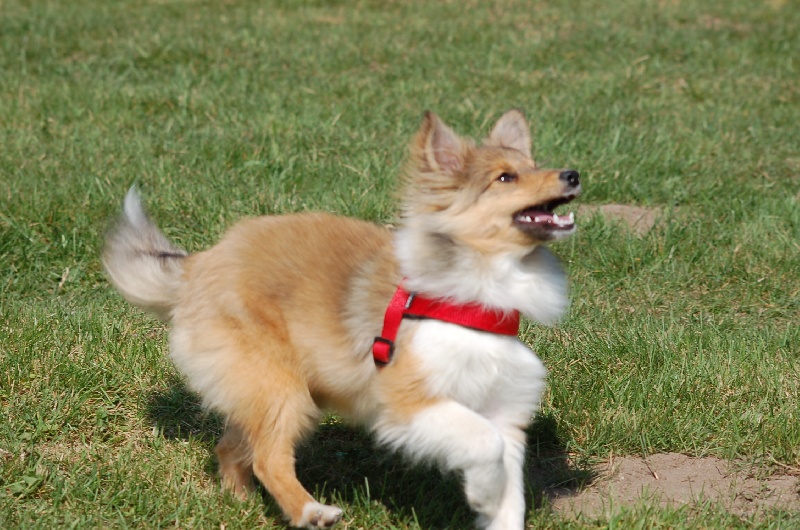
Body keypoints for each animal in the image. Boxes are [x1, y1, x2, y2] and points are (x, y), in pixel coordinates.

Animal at [104, 109, 580, 524]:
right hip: (281, 389)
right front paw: (483, 494)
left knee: (233, 447)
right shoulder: (406, 400)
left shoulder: (504, 410)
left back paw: (240, 504)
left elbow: (507, 484)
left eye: (534, 165)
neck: (473, 302)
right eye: (505, 177)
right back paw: (310, 512)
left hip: (263, 388)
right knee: (267, 458)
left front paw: (491, 502)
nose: (573, 174)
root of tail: (195, 267)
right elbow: (484, 443)